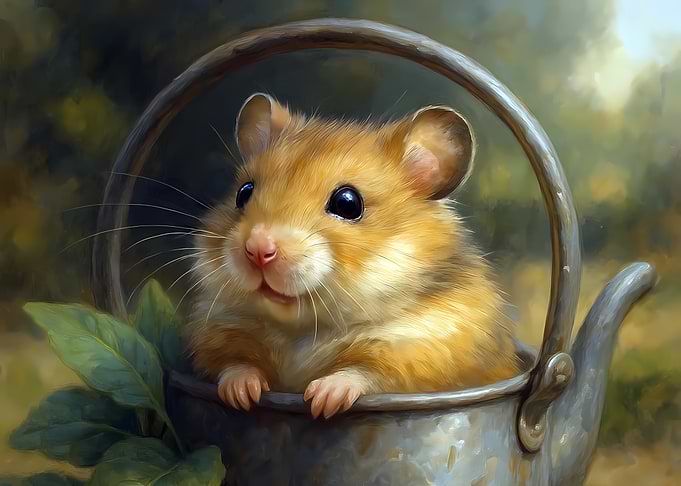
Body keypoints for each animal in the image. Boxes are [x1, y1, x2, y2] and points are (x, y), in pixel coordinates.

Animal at [188, 93, 520, 419]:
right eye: (243, 192)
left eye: (348, 203)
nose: (257, 249)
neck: (306, 329)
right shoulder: (219, 329)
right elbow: (232, 363)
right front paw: (241, 394)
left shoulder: (428, 351)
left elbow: (364, 372)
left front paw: (321, 400)